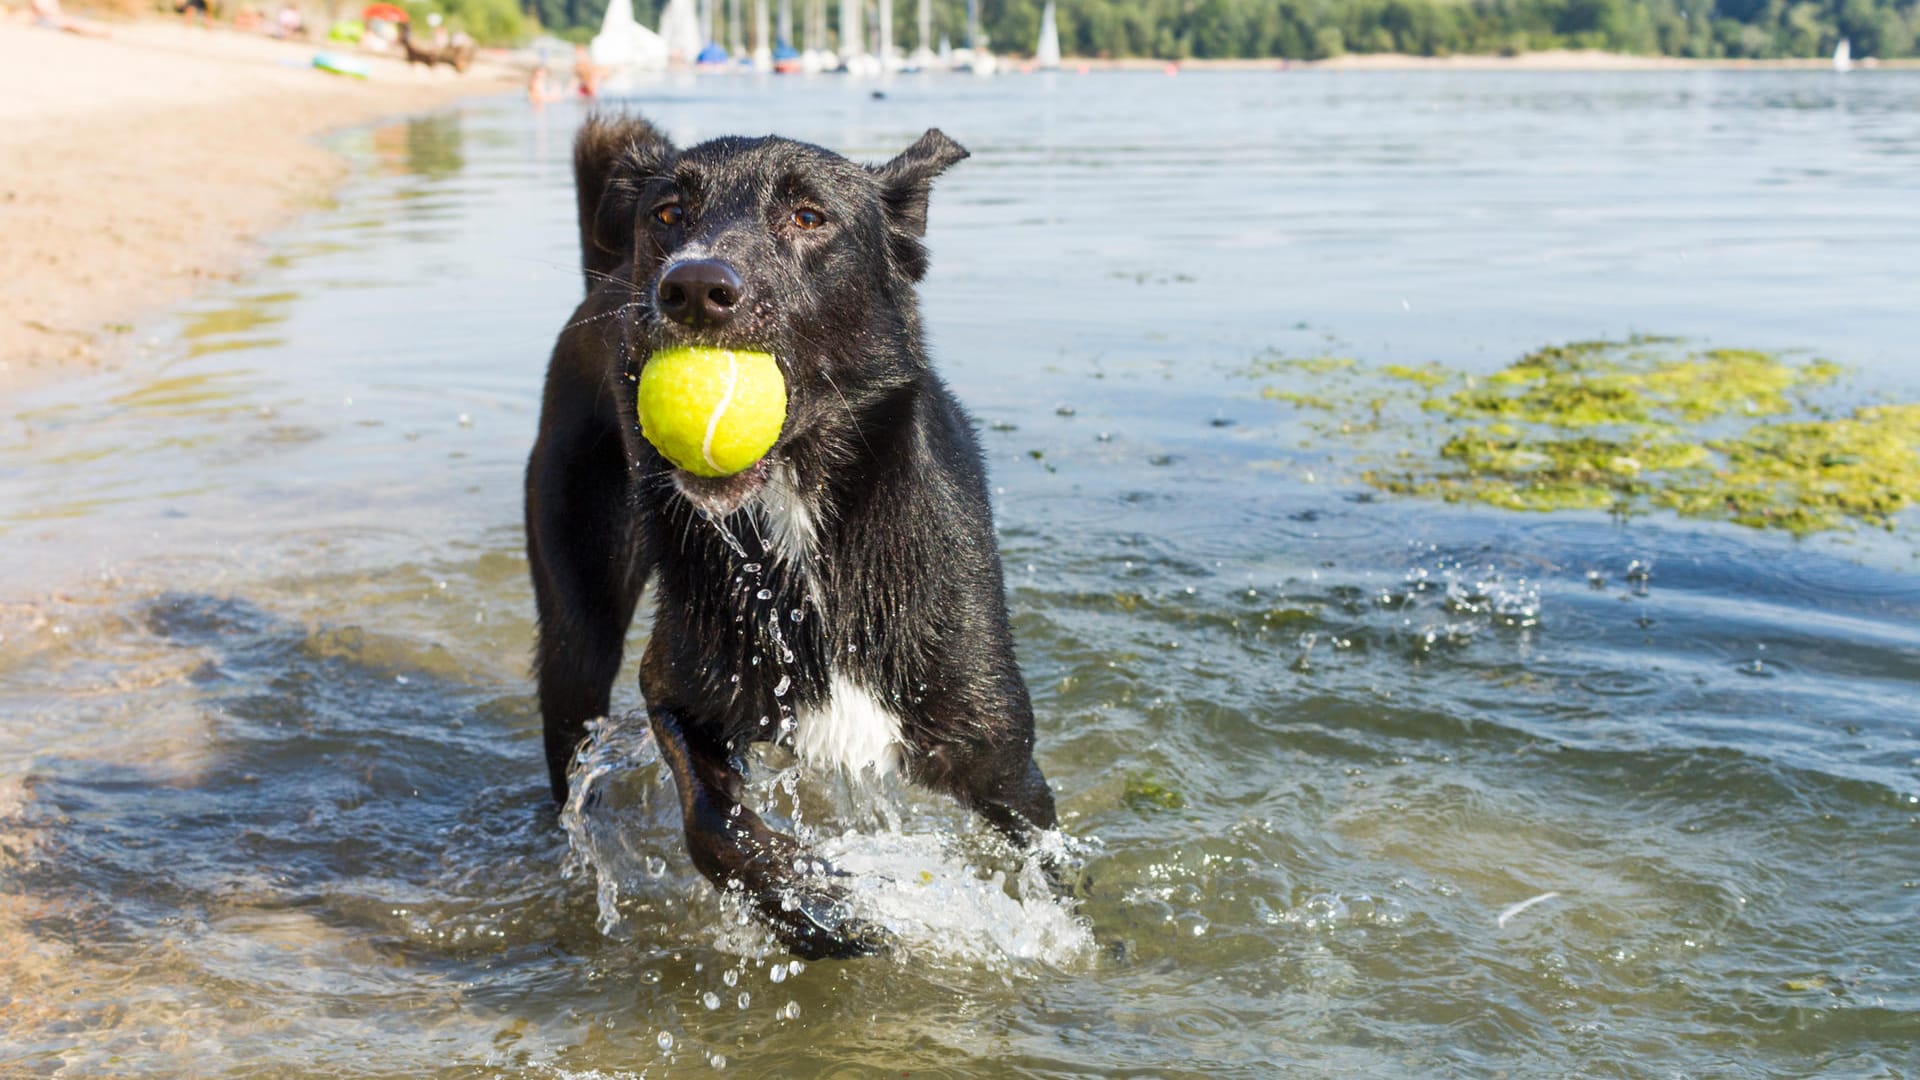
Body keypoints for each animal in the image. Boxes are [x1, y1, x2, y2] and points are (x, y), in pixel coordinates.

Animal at [526, 117, 1059, 953]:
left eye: (809, 217)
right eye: (668, 214)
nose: (691, 287)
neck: (800, 517)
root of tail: (604, 278)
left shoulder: (1004, 763)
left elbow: (1057, 883)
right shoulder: (676, 688)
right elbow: (713, 827)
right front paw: (813, 905)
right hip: (577, 634)